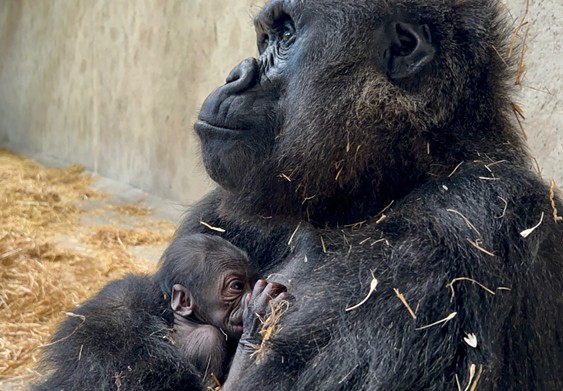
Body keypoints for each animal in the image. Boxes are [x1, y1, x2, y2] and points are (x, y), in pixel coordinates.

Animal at [31, 234, 286, 390]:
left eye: (252, 280)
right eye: (237, 286)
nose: (250, 295)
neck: (188, 321)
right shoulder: (209, 339)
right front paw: (256, 319)